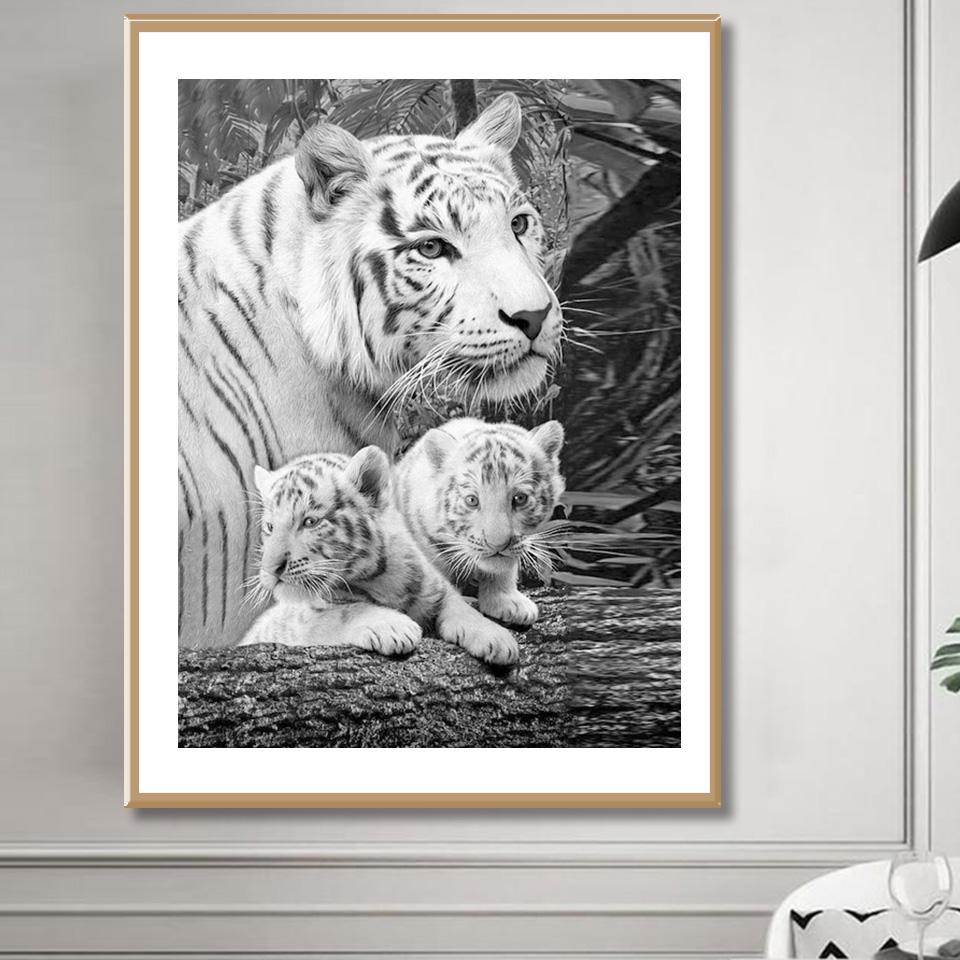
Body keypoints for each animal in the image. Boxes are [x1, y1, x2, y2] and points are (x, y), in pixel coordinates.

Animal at [239, 447, 520, 665]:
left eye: (310, 522)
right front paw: (395, 627)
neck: (378, 577)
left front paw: (498, 639)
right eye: (270, 527)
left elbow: (459, 608)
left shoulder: (436, 588)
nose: (270, 569)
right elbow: (344, 612)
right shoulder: (299, 621)